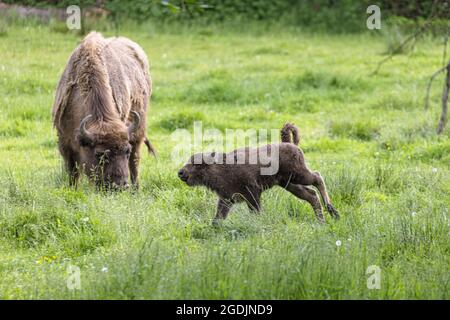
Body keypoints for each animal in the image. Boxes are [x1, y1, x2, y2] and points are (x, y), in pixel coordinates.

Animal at [51, 31, 155, 190]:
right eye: (100, 154)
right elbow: (72, 172)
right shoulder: (64, 143)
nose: (120, 186)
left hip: (138, 132)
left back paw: (136, 189)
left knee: (135, 163)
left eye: (126, 150)